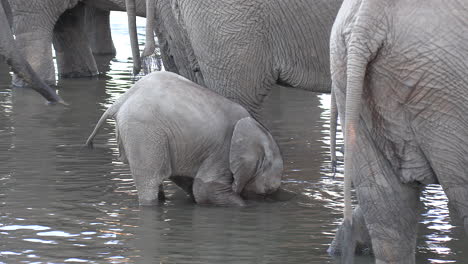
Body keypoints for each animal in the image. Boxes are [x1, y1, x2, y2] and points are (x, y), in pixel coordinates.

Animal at [86, 71, 284, 206]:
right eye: (267, 191)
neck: (259, 130)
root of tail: (120, 100)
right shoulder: (222, 151)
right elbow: (205, 189)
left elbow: (191, 184)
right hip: (143, 133)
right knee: (149, 183)